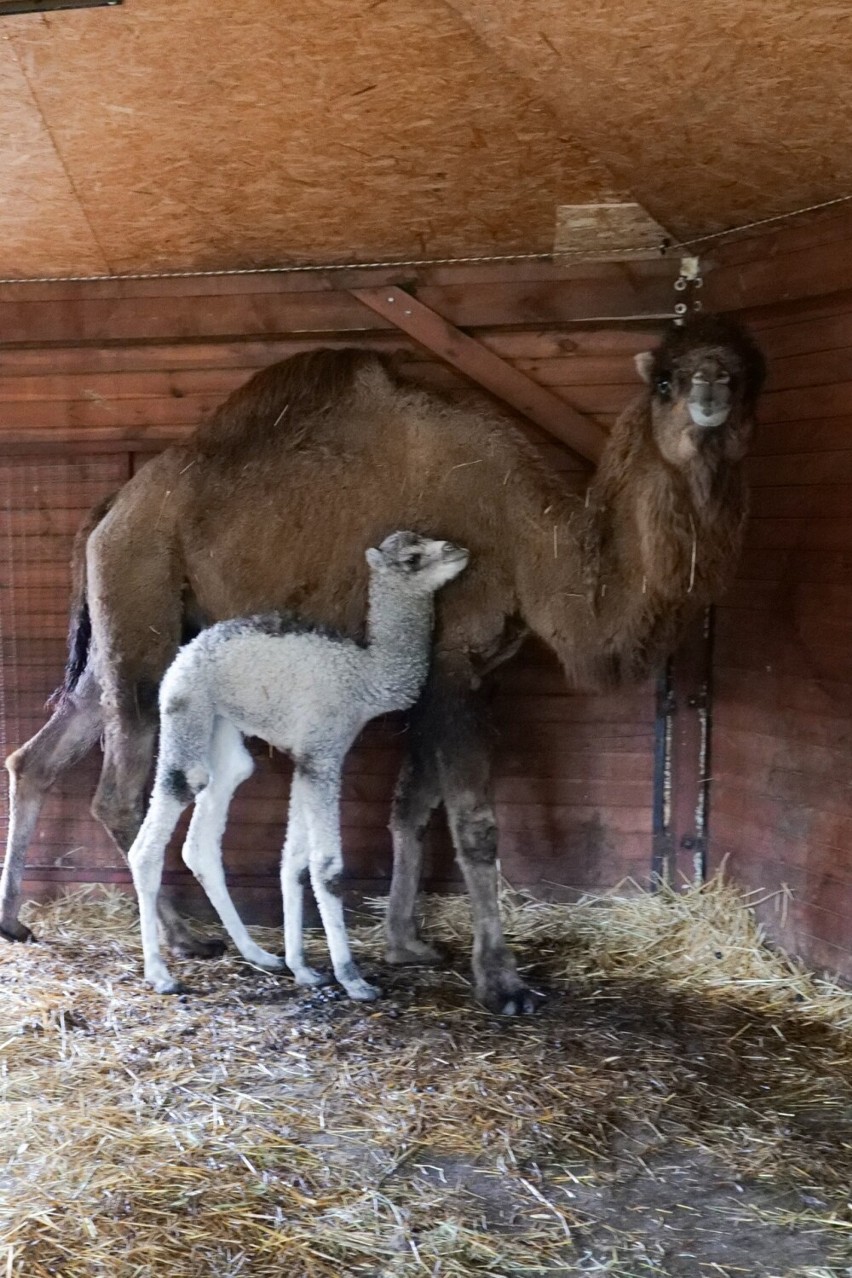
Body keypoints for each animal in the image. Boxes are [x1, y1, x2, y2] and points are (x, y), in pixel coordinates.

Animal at [130, 529, 470, 996]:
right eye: (413, 557)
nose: (459, 551)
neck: (365, 678)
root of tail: (184, 655)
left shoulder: (306, 757)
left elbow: (293, 861)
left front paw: (303, 968)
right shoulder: (324, 754)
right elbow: (326, 867)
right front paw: (352, 978)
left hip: (222, 727)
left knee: (208, 827)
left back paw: (260, 955)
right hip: (187, 709)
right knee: (157, 829)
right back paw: (160, 974)